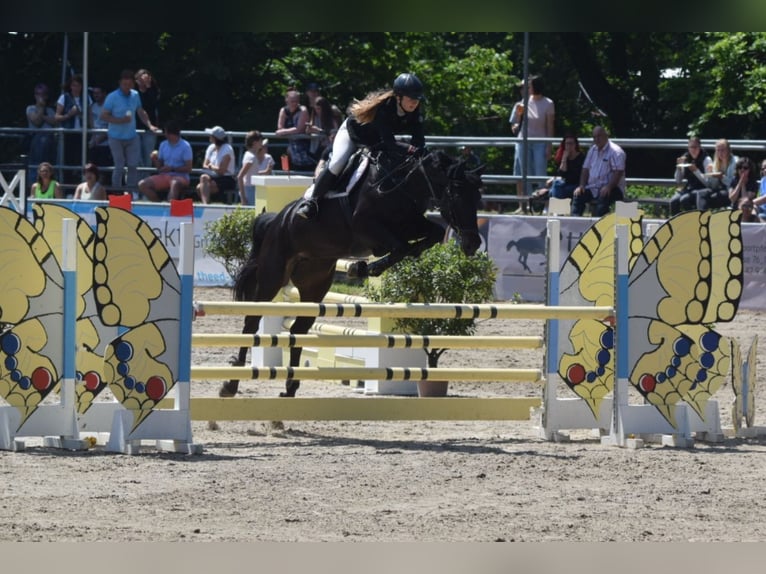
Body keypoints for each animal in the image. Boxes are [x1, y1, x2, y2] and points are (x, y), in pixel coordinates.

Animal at [219, 149, 484, 398]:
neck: (401, 187)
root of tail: (277, 219)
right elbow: (400, 247)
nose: (473, 244)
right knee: (252, 322)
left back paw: (290, 388)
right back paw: (230, 384)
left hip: (314, 285)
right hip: (272, 276)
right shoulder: (367, 228)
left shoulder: (411, 224)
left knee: (297, 331)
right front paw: (366, 268)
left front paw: (370, 265)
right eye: (456, 195)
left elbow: (432, 234)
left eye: (478, 198)